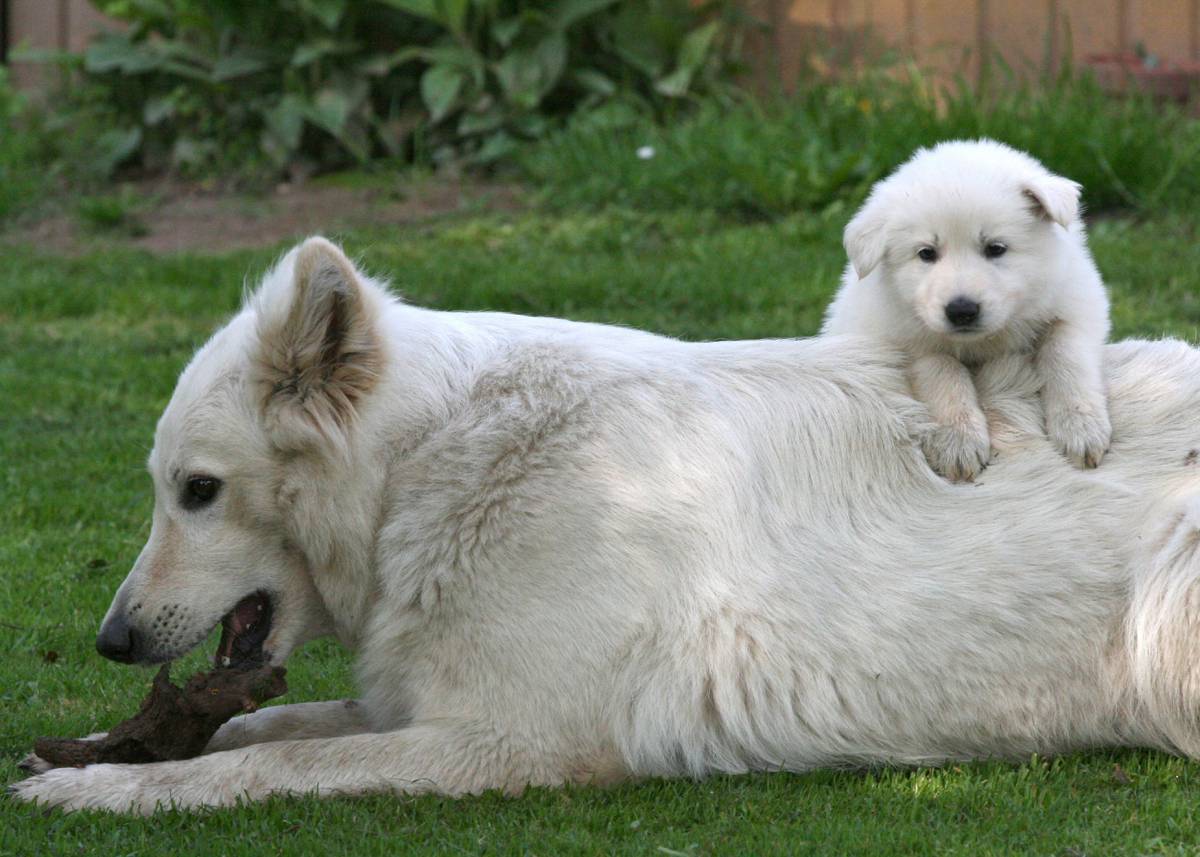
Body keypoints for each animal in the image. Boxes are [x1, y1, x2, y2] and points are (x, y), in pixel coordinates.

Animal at [14, 236, 1200, 811]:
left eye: (197, 490)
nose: (112, 640)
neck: (429, 467)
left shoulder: (506, 740)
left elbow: (249, 769)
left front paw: (98, 788)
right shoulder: (428, 702)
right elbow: (259, 729)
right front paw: (91, 751)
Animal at [820, 136, 1108, 477]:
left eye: (995, 248)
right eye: (926, 253)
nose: (961, 311)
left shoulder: (1077, 301)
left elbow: (1065, 352)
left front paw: (1081, 426)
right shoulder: (903, 338)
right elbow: (943, 370)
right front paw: (958, 441)